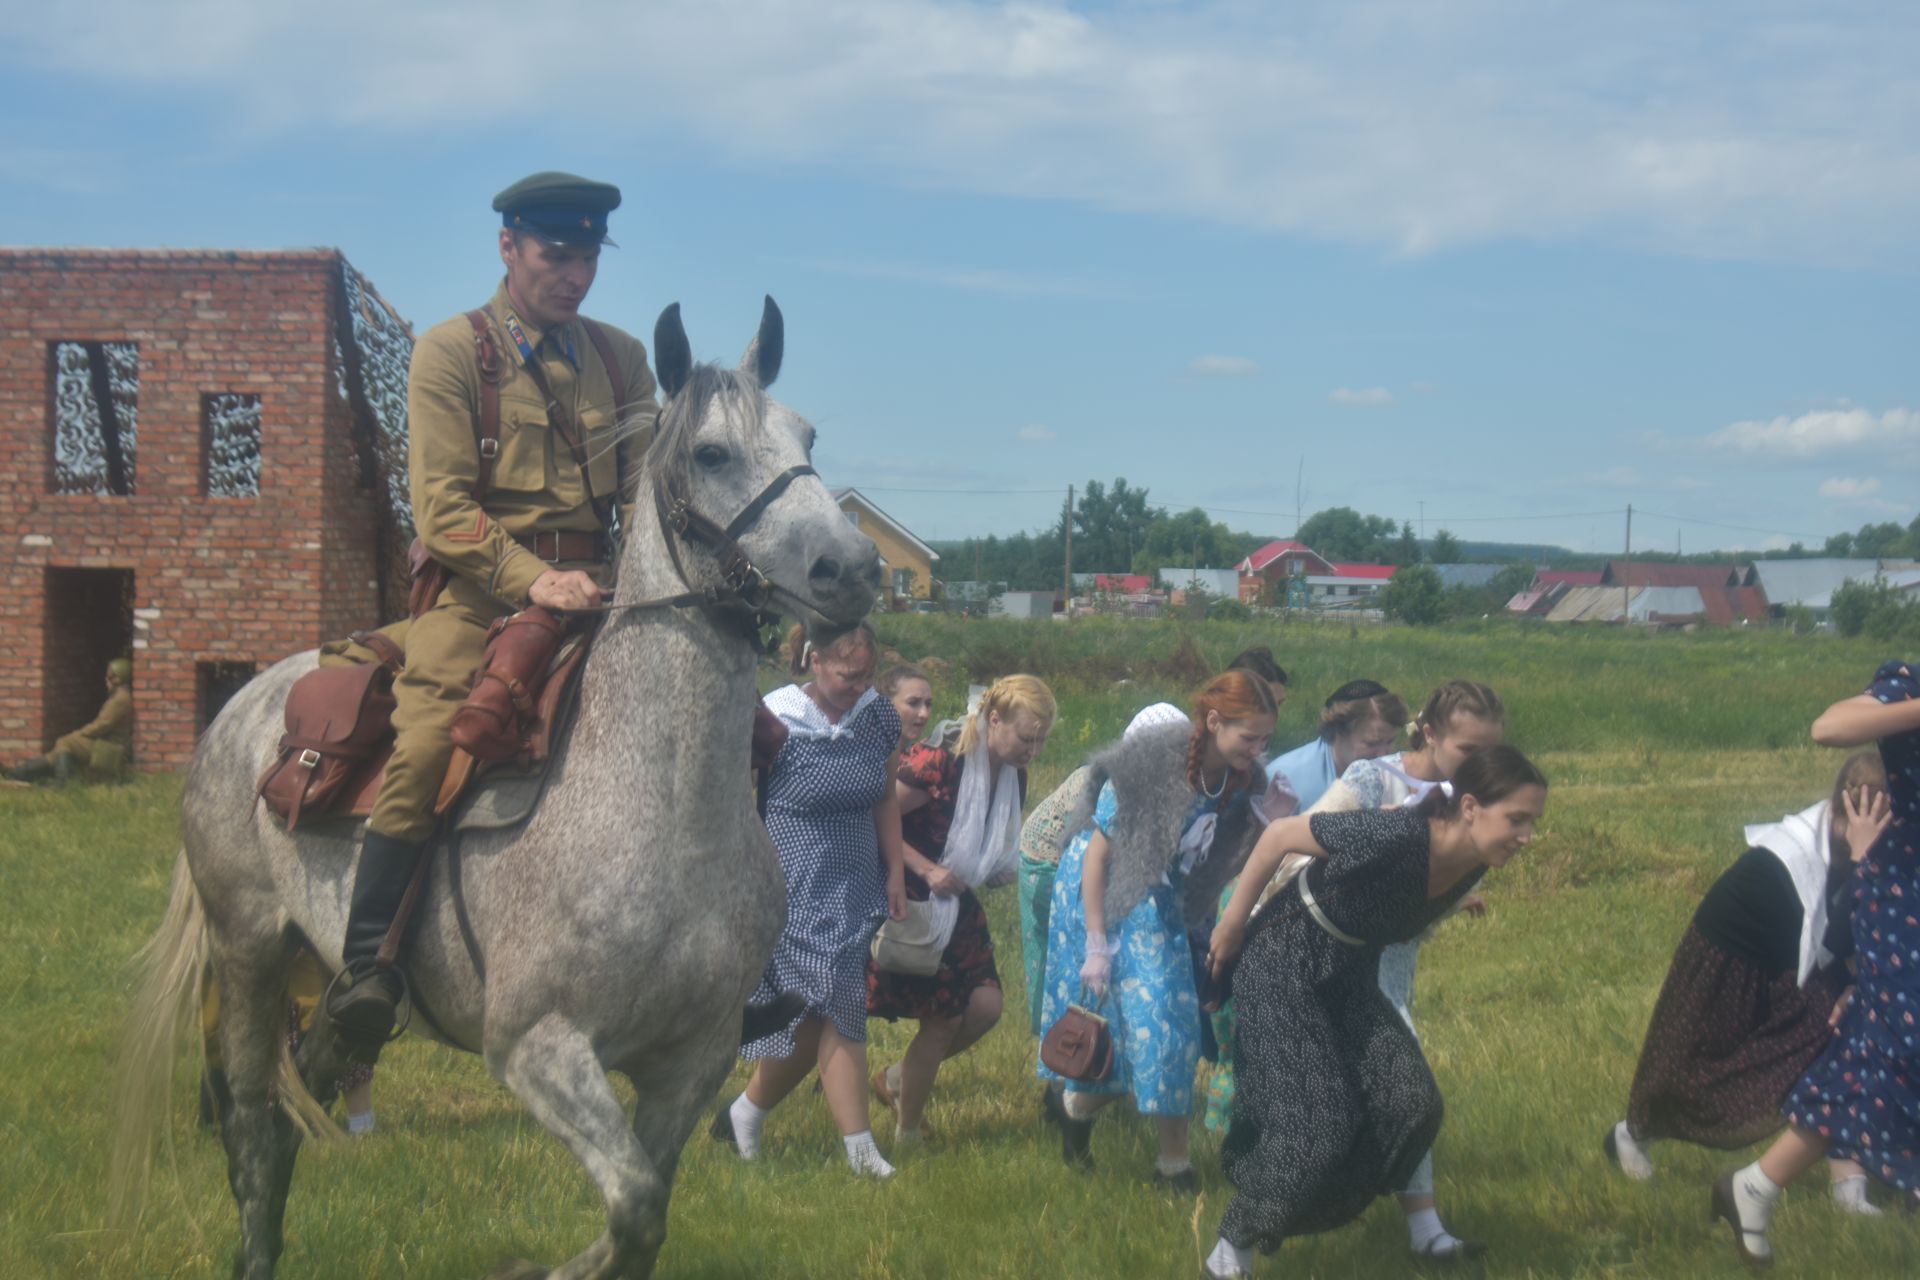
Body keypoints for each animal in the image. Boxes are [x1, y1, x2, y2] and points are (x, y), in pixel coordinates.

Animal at [112, 301, 879, 1280]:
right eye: (711, 453)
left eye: (806, 435)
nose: (850, 568)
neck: (666, 816)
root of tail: (239, 708)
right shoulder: (538, 1048)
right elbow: (633, 1206)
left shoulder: (691, 1063)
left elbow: (642, 1218)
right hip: (249, 953)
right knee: (250, 1126)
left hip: (326, 985)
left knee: (292, 1115)